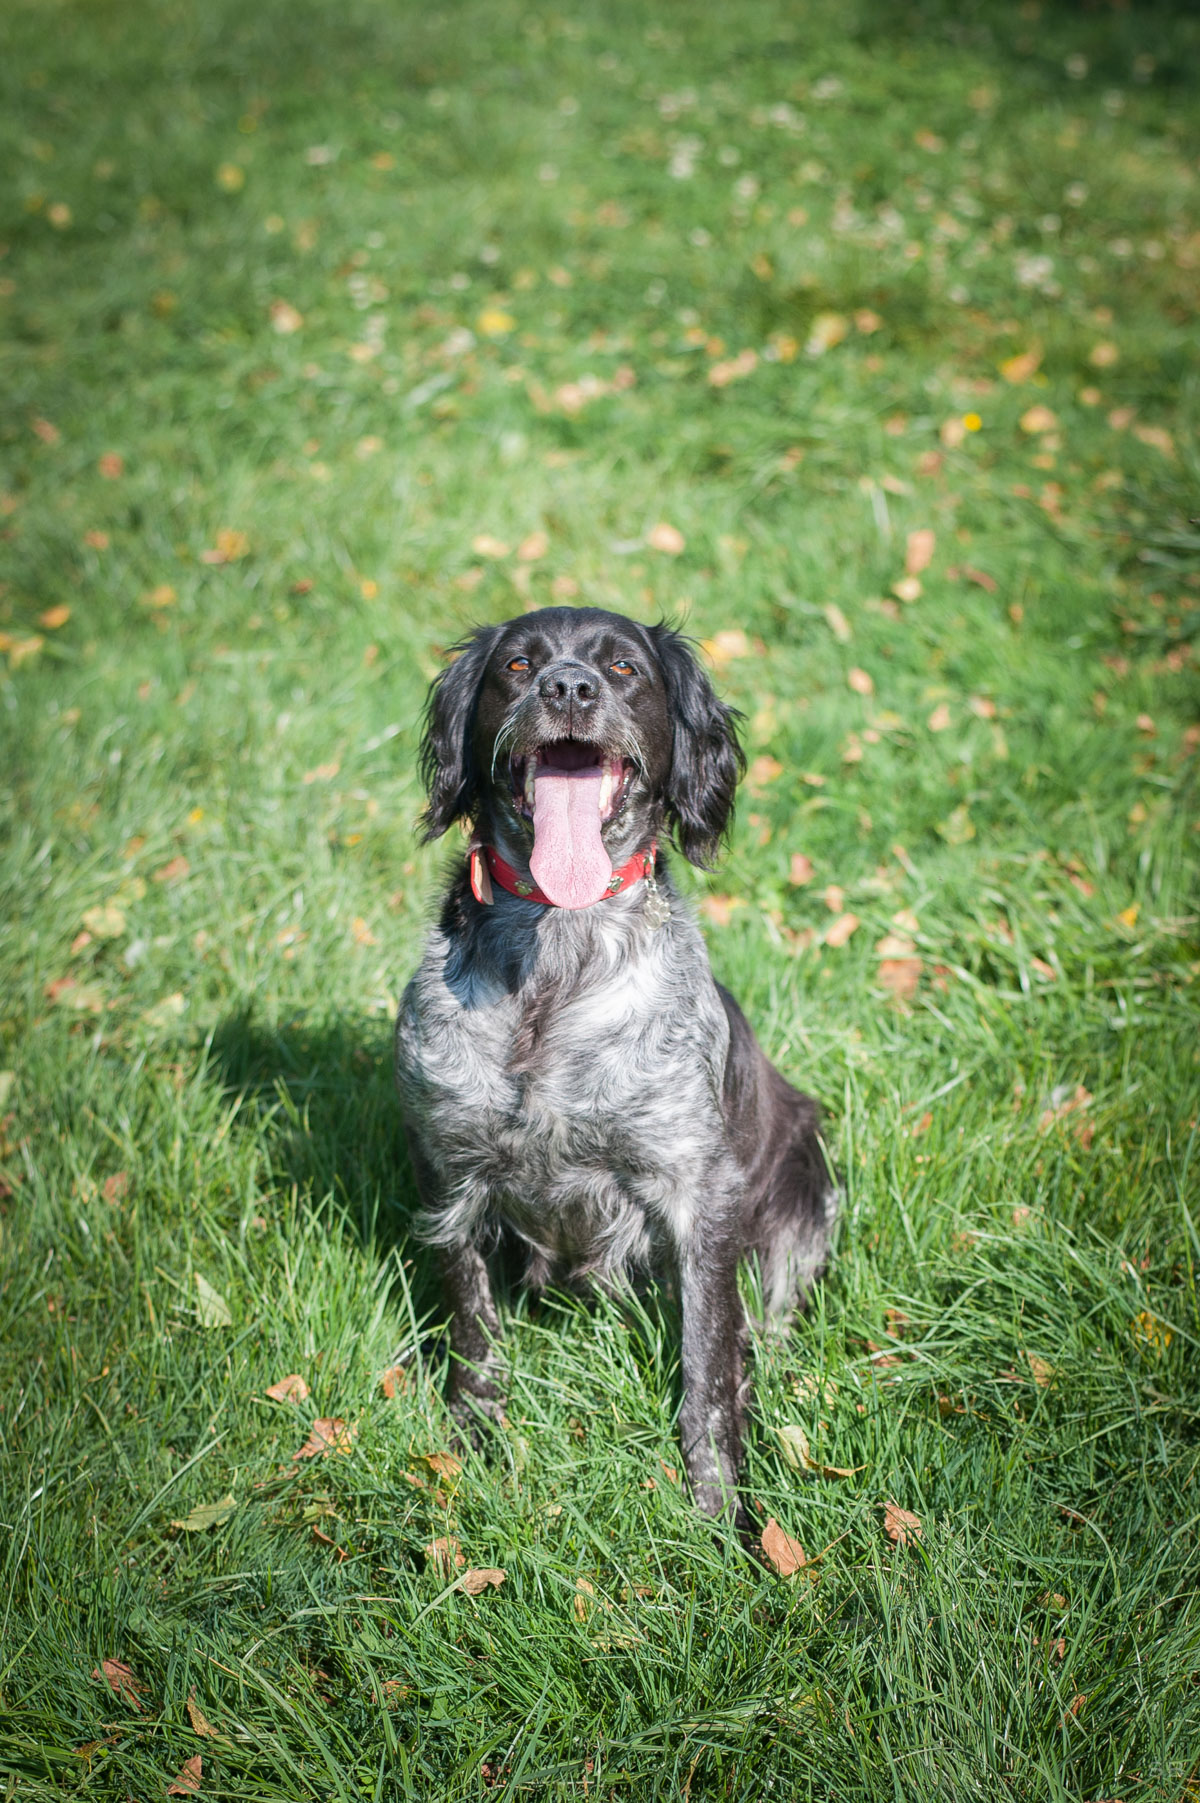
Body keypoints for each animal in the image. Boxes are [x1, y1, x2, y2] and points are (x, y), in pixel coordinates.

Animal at [392, 609, 832, 1521]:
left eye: (625, 667)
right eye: (518, 664)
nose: (568, 686)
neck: (558, 953)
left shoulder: (697, 1194)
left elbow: (709, 1369)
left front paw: (719, 1514)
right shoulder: (451, 1175)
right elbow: (473, 1331)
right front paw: (472, 1445)